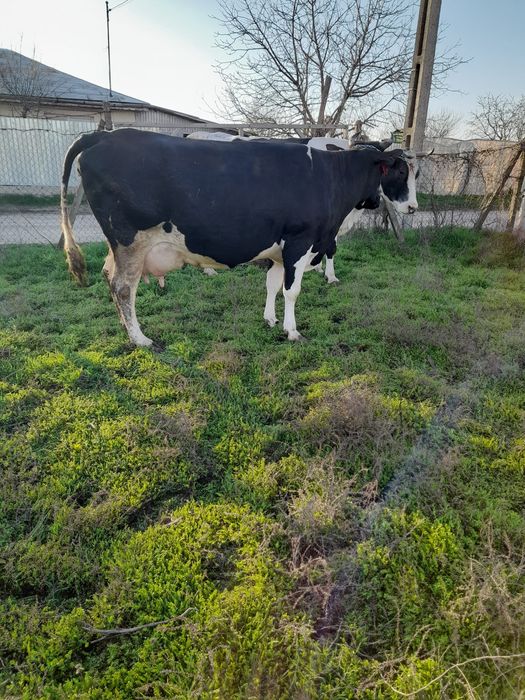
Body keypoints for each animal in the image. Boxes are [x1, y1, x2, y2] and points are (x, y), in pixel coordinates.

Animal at [60, 128, 417, 346]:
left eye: (414, 172)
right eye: (400, 171)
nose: (413, 206)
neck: (331, 177)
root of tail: (103, 134)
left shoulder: (278, 249)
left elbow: (272, 285)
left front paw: (270, 319)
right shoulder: (301, 241)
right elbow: (291, 290)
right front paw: (292, 330)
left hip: (120, 247)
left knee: (109, 276)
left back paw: (128, 330)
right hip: (130, 241)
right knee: (123, 287)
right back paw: (140, 339)